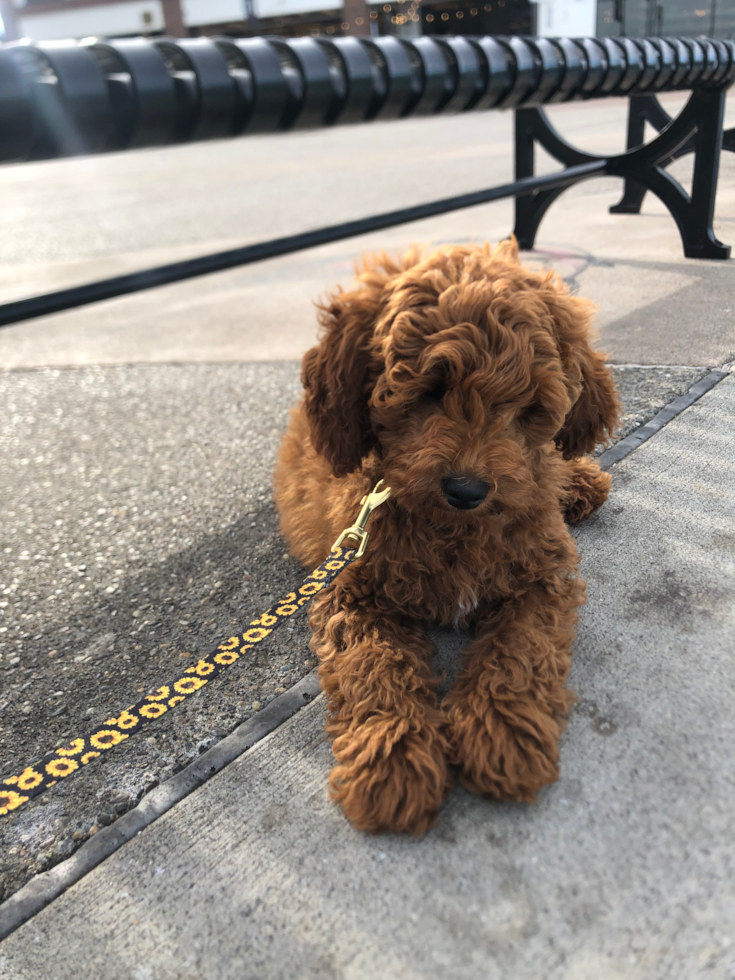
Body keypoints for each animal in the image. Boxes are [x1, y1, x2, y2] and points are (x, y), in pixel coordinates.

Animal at [276, 241, 620, 840]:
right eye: (428, 391)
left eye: (528, 405)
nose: (467, 489)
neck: (454, 528)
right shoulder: (351, 587)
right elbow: (373, 665)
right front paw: (391, 761)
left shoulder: (543, 576)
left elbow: (521, 648)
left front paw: (503, 735)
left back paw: (581, 484)